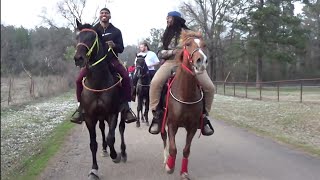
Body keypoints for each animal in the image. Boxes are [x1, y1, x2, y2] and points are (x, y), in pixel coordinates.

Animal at [73, 19, 127, 179]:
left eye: (92, 38)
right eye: (77, 37)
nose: (78, 58)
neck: (98, 83)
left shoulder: (112, 113)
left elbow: (111, 138)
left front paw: (115, 156)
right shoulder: (89, 117)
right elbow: (93, 144)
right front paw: (94, 170)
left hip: (121, 112)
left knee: (121, 128)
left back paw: (123, 152)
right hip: (99, 116)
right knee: (103, 129)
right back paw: (104, 150)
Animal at [161, 30, 209, 179]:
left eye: (204, 45)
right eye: (188, 44)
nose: (201, 61)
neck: (186, 95)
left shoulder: (192, 127)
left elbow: (186, 150)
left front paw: (184, 172)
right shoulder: (172, 124)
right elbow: (173, 148)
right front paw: (170, 166)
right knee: (164, 138)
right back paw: (165, 159)